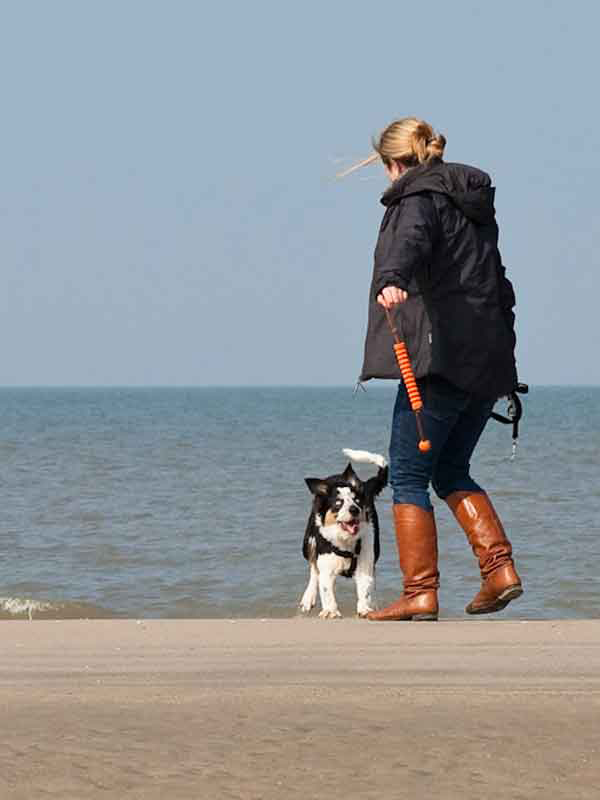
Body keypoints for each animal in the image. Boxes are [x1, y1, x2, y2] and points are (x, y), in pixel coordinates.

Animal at [300, 450, 390, 620]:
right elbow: (326, 588)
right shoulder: (326, 565)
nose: (354, 509)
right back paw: (308, 599)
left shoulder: (365, 561)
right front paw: (330, 611)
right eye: (338, 503)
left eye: (357, 501)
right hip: (308, 541)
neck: (345, 541)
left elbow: (365, 587)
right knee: (313, 569)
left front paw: (365, 608)